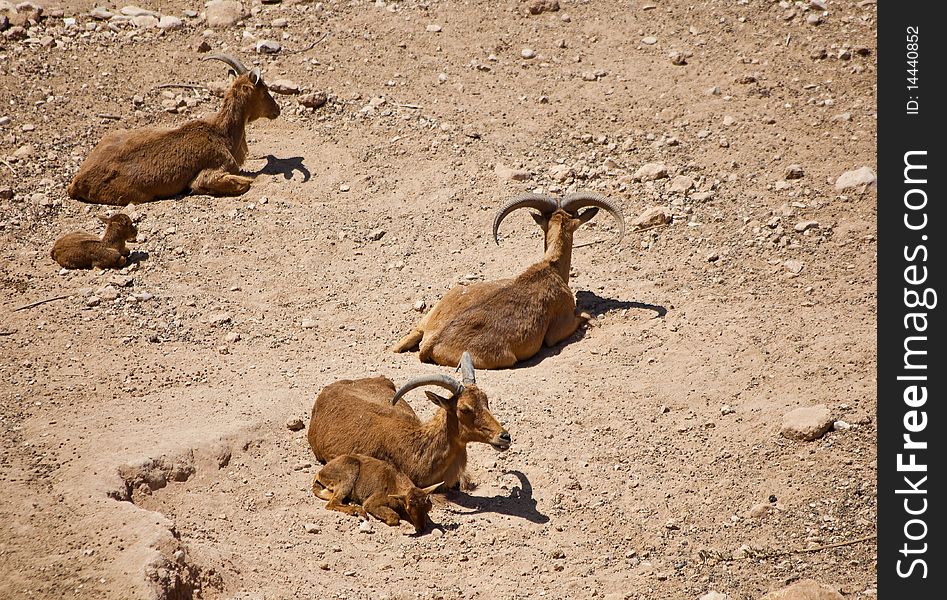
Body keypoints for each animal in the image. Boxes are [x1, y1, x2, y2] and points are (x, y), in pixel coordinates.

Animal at [67, 55, 278, 207]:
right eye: (264, 89)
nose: (277, 109)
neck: (221, 133)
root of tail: (78, 181)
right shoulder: (215, 169)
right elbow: (243, 183)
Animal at [312, 452, 442, 532]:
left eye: (427, 508)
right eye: (409, 509)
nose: (421, 528)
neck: (395, 484)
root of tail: (320, 473)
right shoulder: (371, 502)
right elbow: (394, 517)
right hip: (349, 472)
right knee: (332, 503)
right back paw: (357, 510)